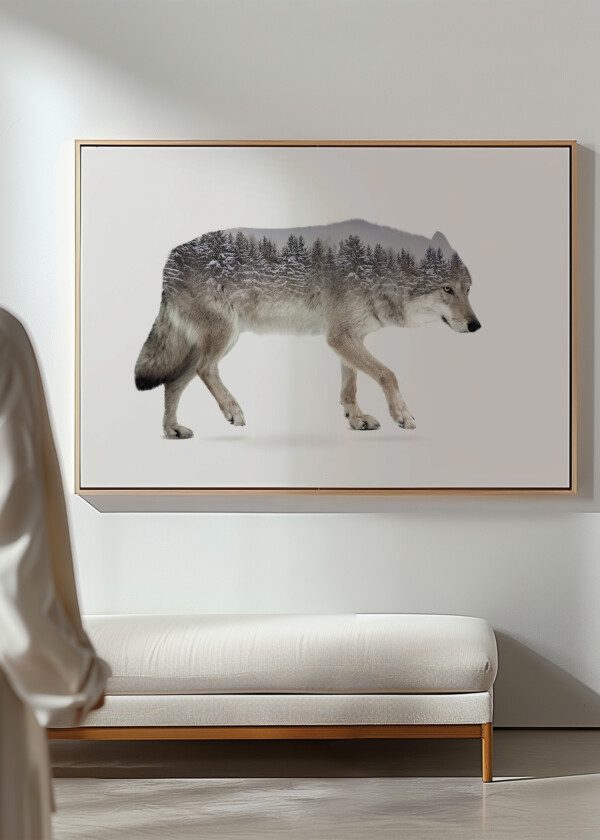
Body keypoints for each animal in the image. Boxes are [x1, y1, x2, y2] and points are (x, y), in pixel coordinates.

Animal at [134, 222, 481, 437]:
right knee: (205, 370)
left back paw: (173, 430)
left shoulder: (348, 338)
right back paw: (233, 410)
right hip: (223, 339)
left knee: (172, 384)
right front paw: (402, 415)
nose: (476, 325)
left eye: (467, 290)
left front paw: (356, 419)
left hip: (206, 346)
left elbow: (349, 387)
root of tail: (169, 260)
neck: (377, 270)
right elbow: (388, 374)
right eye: (447, 289)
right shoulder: (341, 337)